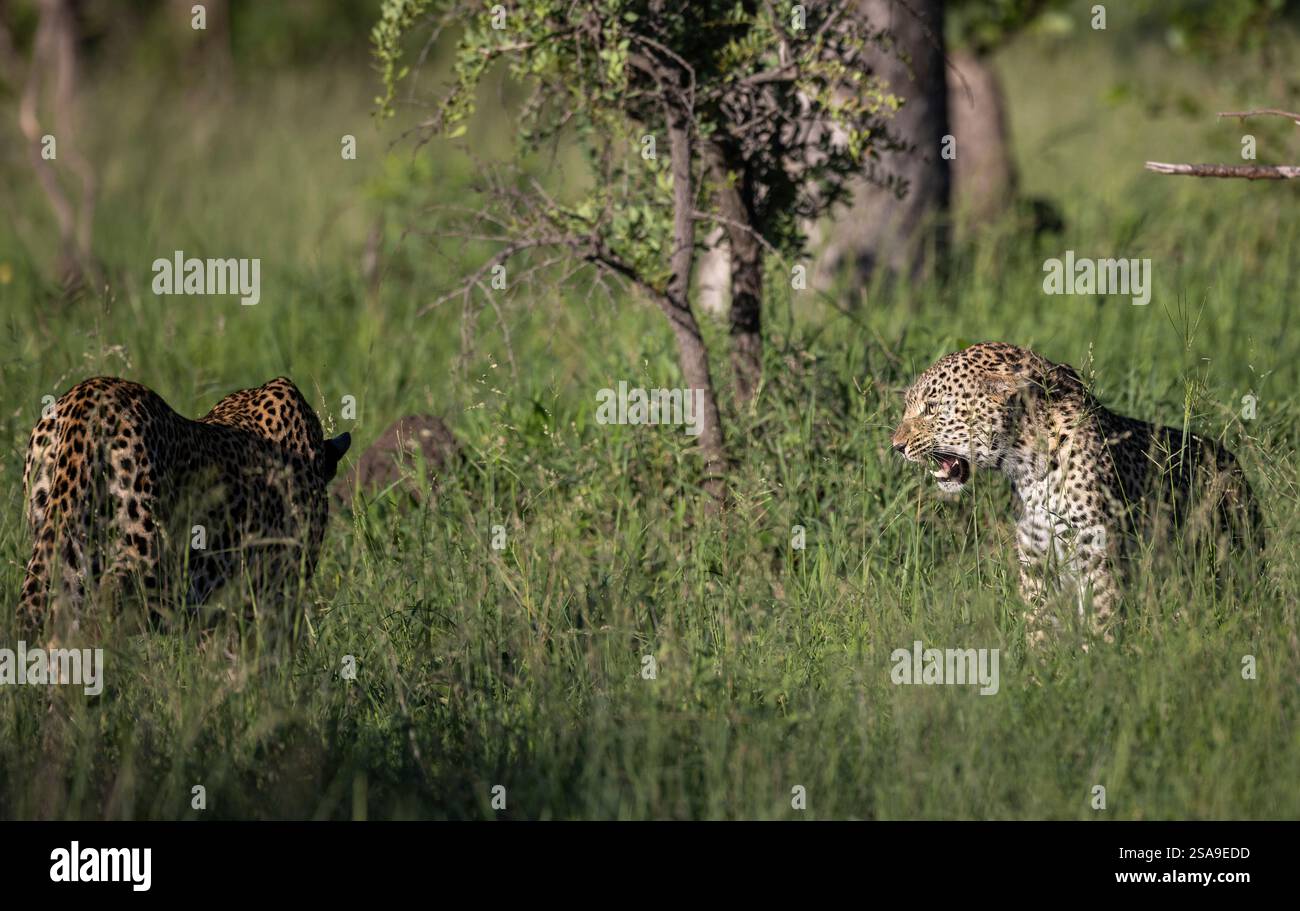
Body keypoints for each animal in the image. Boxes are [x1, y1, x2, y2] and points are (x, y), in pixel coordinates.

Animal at [890, 342, 1261, 641]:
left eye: (932, 408)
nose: (896, 446)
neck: (1029, 469)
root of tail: (1236, 467)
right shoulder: (1036, 562)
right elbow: (1039, 625)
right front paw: (1041, 674)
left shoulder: (1096, 559)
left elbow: (1101, 621)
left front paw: (1098, 663)